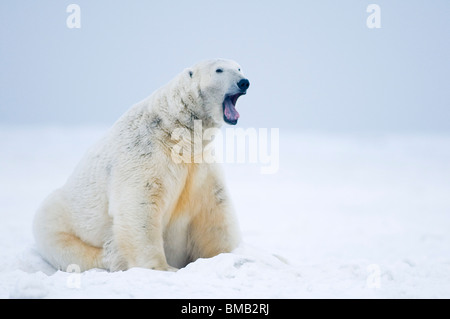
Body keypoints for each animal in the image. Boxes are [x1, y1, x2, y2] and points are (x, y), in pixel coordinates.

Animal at [32, 58, 250, 272]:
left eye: (239, 67)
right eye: (219, 70)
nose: (244, 82)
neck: (175, 132)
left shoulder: (200, 166)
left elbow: (214, 208)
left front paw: (228, 256)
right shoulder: (144, 150)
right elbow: (140, 203)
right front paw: (162, 268)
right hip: (60, 217)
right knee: (66, 243)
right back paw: (112, 255)